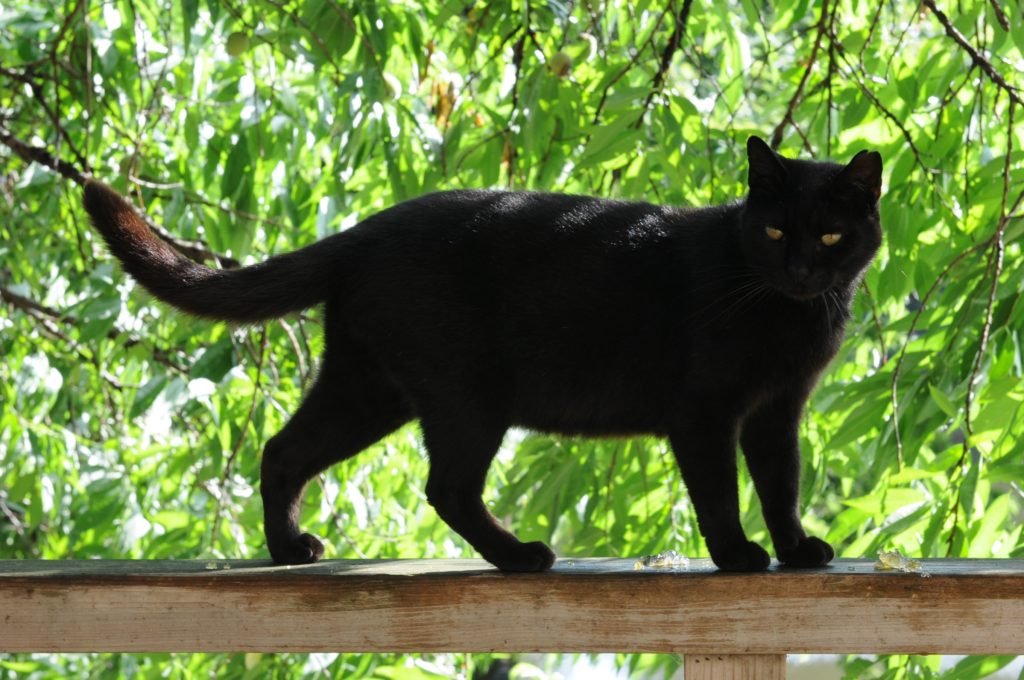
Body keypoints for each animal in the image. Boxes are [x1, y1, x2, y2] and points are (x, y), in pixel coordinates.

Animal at [83, 135, 880, 569]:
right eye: (774, 231)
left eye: (831, 236)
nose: (802, 269)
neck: (787, 311)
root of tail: (365, 230)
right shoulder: (705, 413)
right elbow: (720, 493)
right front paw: (738, 557)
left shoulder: (777, 413)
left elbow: (781, 486)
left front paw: (795, 550)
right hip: (466, 399)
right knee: (447, 487)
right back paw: (522, 556)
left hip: (368, 389)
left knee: (284, 451)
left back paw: (288, 551)